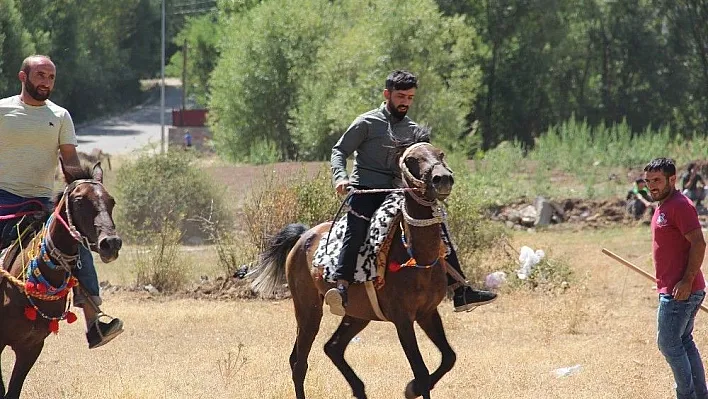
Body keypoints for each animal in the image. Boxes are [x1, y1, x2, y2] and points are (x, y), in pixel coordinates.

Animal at [252, 138, 456, 399]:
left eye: (440, 154)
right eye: (411, 159)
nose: (443, 178)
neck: (417, 257)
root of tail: (304, 235)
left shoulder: (428, 313)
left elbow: (448, 358)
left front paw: (411, 388)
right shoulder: (403, 319)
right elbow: (421, 371)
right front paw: (413, 388)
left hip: (358, 314)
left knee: (332, 348)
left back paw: (359, 388)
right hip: (308, 311)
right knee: (299, 363)